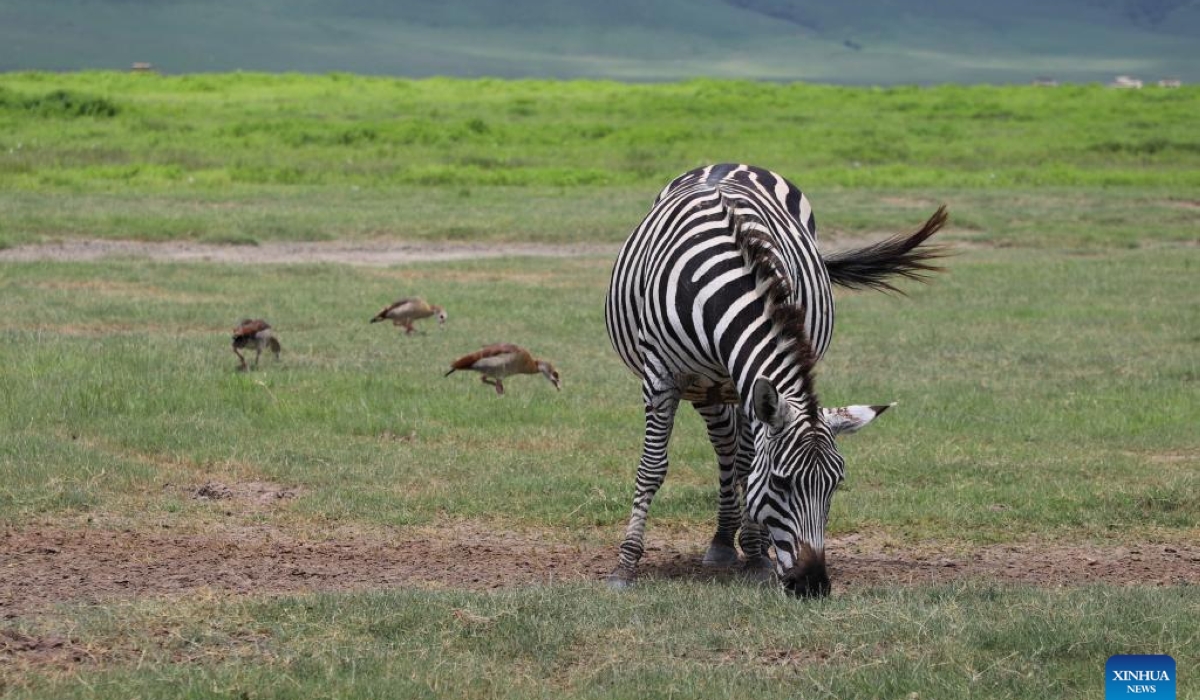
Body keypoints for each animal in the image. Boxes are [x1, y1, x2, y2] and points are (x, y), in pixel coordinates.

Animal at [604, 163, 948, 596]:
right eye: (782, 484)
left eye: (835, 485)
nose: (813, 584)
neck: (721, 285)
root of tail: (729, 163)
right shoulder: (661, 377)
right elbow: (652, 467)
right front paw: (625, 564)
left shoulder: (748, 382)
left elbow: (749, 464)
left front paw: (755, 554)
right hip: (705, 388)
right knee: (724, 446)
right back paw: (722, 541)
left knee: (737, 453)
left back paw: (745, 542)